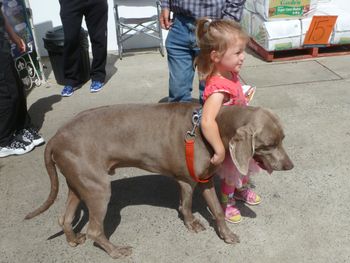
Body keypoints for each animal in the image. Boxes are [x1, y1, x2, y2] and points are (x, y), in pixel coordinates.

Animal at [23, 103, 292, 260]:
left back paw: (72, 240)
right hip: (98, 189)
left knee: (65, 218)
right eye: (269, 144)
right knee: (94, 230)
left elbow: (216, 210)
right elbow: (186, 206)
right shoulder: (186, 180)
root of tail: (55, 138)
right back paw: (116, 251)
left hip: (78, 183)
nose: (289, 165)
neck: (212, 128)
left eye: (283, 139)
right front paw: (192, 224)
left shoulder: (204, 179)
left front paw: (226, 235)